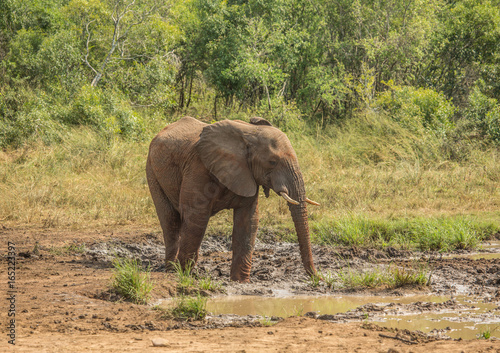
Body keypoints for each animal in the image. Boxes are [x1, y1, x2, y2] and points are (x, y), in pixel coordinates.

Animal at [146, 117, 320, 282]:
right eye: (272, 162)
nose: (318, 278)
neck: (250, 133)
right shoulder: (198, 167)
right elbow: (196, 216)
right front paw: (183, 274)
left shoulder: (247, 174)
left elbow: (248, 221)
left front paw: (240, 282)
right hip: (152, 171)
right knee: (170, 220)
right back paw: (171, 270)